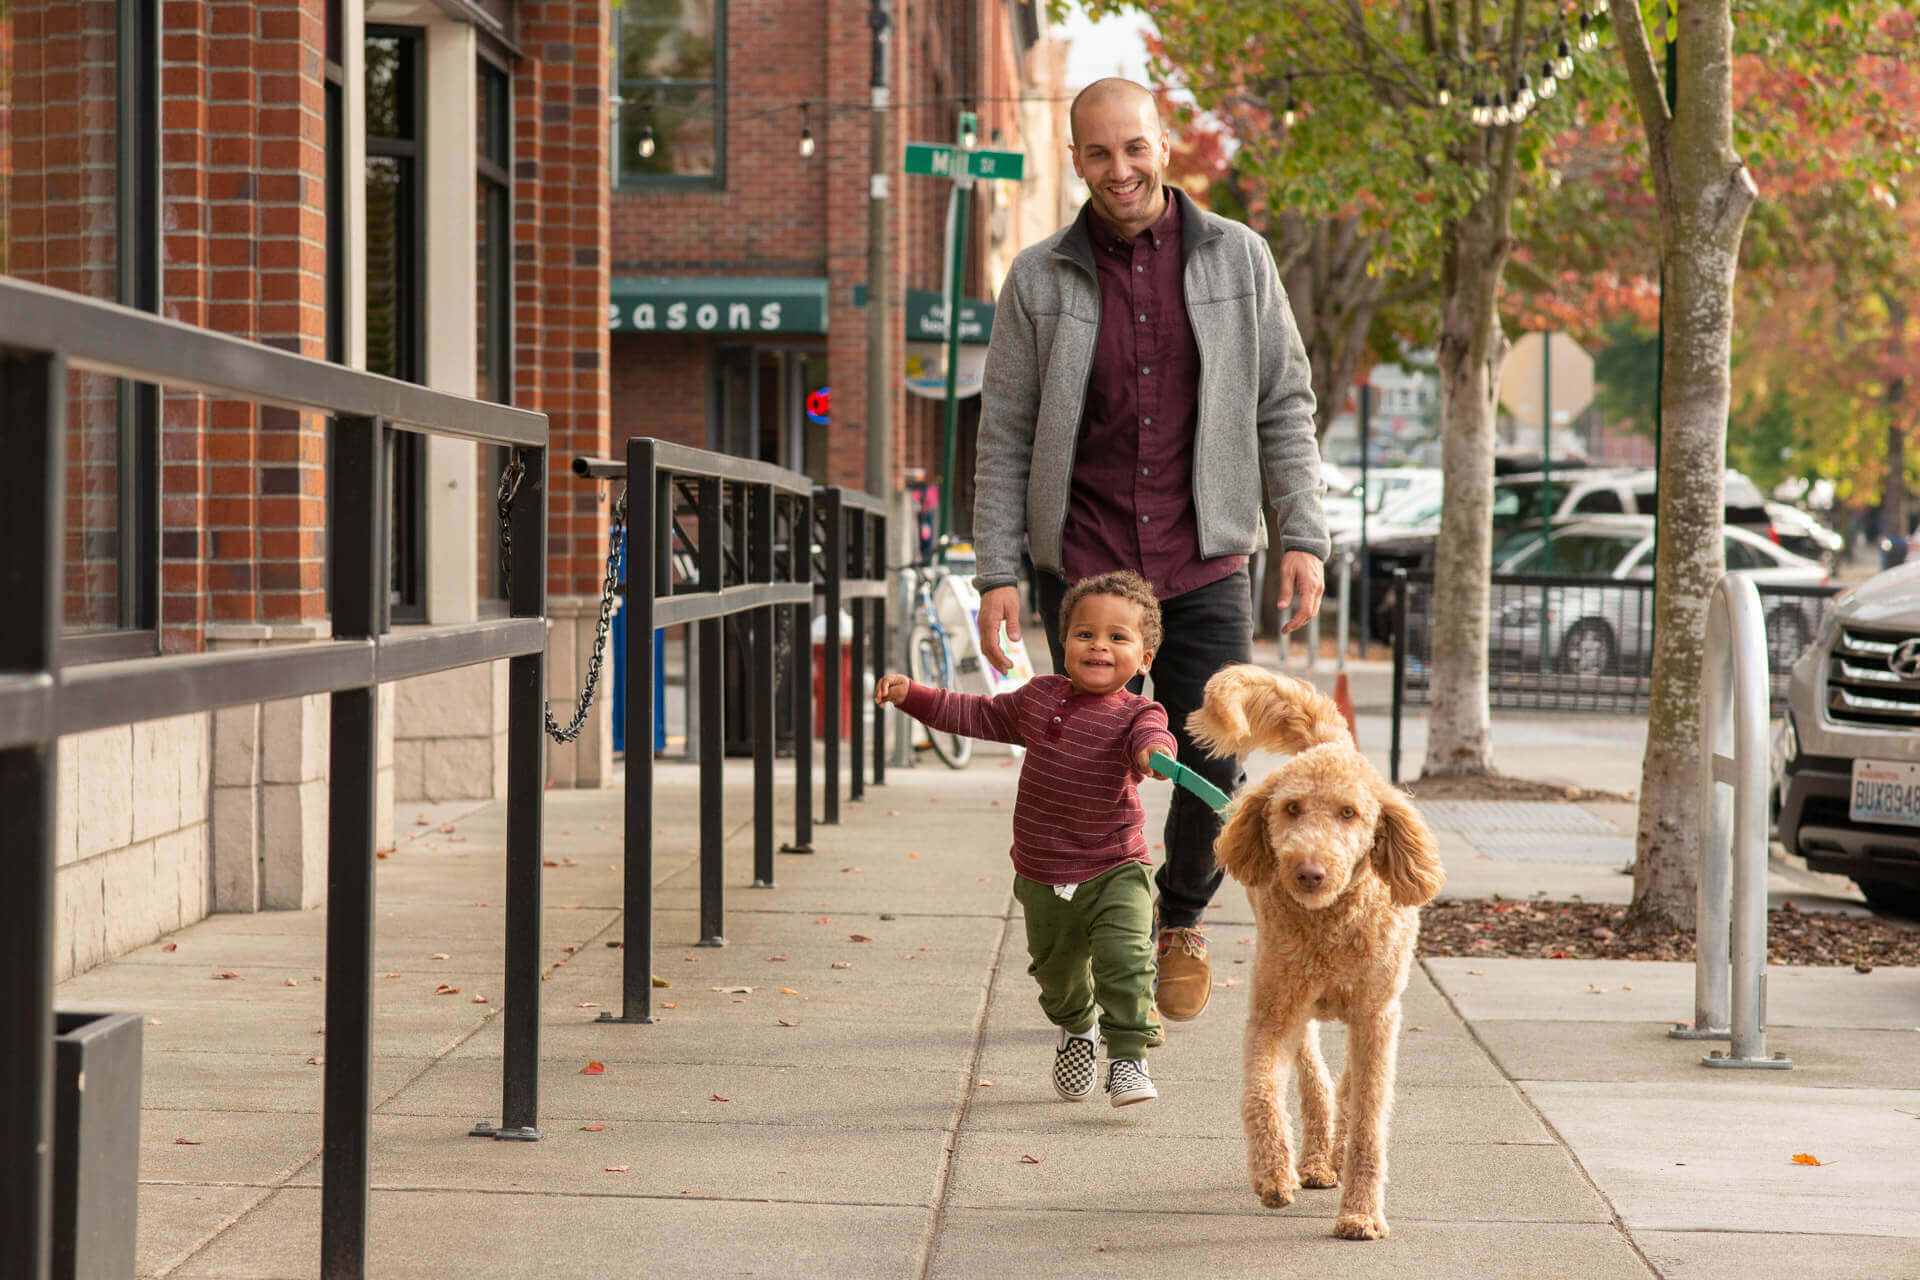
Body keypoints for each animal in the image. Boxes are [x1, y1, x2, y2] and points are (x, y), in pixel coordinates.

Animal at [1182, 667, 1443, 1243]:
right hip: (1293, 995)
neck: (1331, 926)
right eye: (1291, 809)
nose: (1308, 872)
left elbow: (1369, 1117)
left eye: (1350, 813)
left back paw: (1334, 1153)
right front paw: (1273, 1175)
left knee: (1344, 1088)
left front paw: (1361, 1213)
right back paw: (1318, 1159)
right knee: (1315, 1078)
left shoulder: (1377, 1018)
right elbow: (1261, 1093)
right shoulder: (1274, 1013)